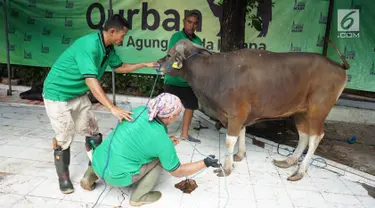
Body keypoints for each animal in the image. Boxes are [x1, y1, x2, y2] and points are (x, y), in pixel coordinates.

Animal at [156, 39, 350, 181]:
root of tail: (338, 67)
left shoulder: (236, 113)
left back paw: (300, 171)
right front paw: (240, 155)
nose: (158, 63)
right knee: (303, 136)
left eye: (169, 54)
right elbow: (242, 132)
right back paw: (289, 161)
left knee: (315, 138)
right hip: (300, 112)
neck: (215, 73)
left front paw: (227, 167)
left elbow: (230, 140)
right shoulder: (240, 115)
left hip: (317, 112)